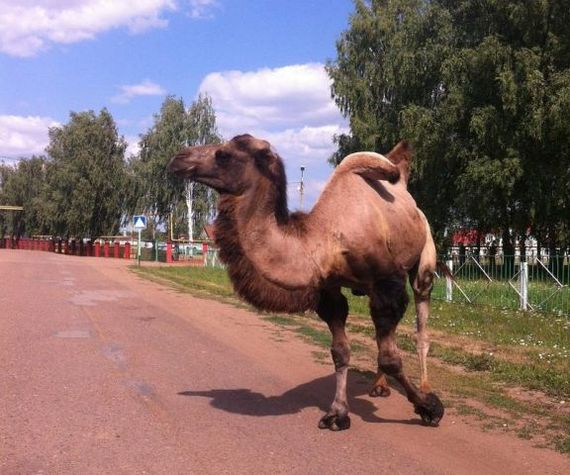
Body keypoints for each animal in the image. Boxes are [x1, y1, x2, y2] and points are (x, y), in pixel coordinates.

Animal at [169, 134, 444, 432]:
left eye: (223, 154)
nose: (178, 159)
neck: (324, 240)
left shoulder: (387, 285)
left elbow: (391, 358)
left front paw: (430, 407)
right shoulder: (329, 290)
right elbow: (340, 351)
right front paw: (337, 413)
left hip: (423, 258)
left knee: (421, 325)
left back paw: (425, 387)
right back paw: (379, 386)